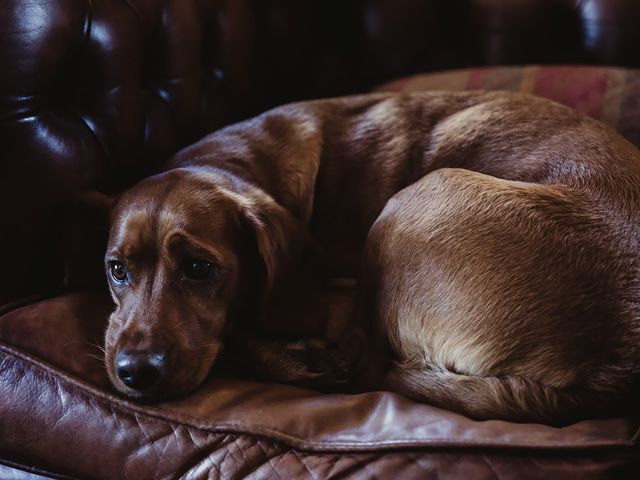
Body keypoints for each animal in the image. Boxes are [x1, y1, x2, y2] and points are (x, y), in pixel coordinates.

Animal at [100, 91, 640, 424]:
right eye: (117, 270)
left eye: (200, 268)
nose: (135, 372)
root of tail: (613, 368)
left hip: (412, 204)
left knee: (359, 360)